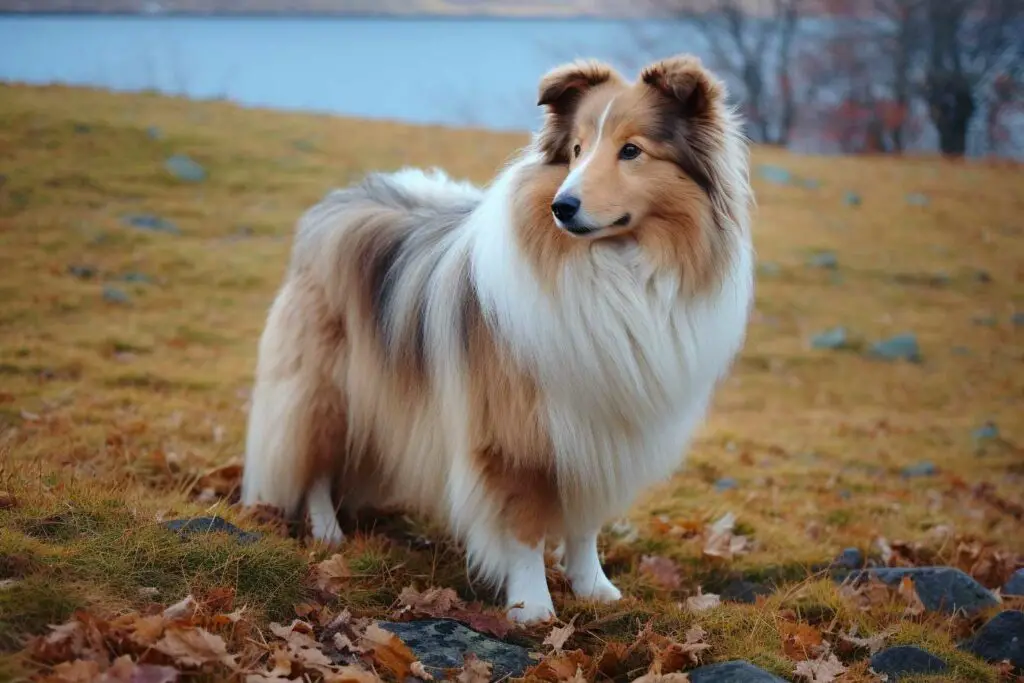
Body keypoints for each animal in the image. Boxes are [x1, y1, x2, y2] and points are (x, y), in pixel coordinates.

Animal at [239, 53, 753, 626]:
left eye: (631, 151)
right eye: (576, 150)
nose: (562, 206)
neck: (615, 268)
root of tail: (345, 199)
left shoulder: (598, 430)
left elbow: (584, 524)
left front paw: (593, 587)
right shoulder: (514, 435)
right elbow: (524, 529)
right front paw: (532, 607)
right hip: (329, 393)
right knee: (314, 464)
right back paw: (327, 530)